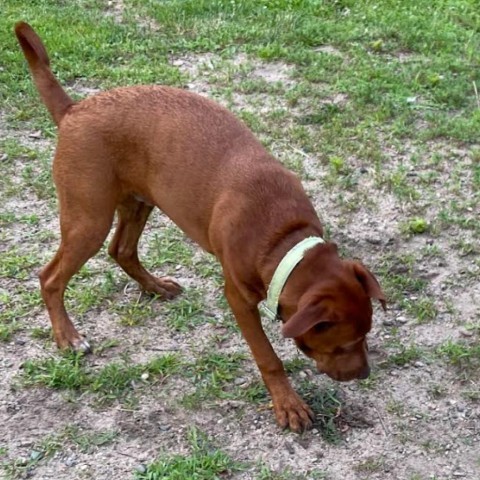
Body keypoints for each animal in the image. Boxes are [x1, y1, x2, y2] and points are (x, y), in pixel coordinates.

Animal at [15, 22, 386, 434]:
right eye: (342, 345)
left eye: (366, 335)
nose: (365, 374)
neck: (282, 235)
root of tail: (74, 109)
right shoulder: (238, 298)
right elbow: (268, 357)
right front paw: (288, 404)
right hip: (88, 219)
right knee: (51, 277)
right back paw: (68, 337)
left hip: (139, 202)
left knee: (121, 250)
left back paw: (155, 286)